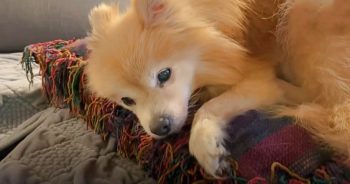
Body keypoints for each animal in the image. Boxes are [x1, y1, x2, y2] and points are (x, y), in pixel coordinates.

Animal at [85, 0, 350, 178]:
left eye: (164, 75)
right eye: (127, 100)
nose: (160, 127)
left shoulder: (257, 77)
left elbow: (210, 107)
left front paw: (204, 144)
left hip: (297, 15)